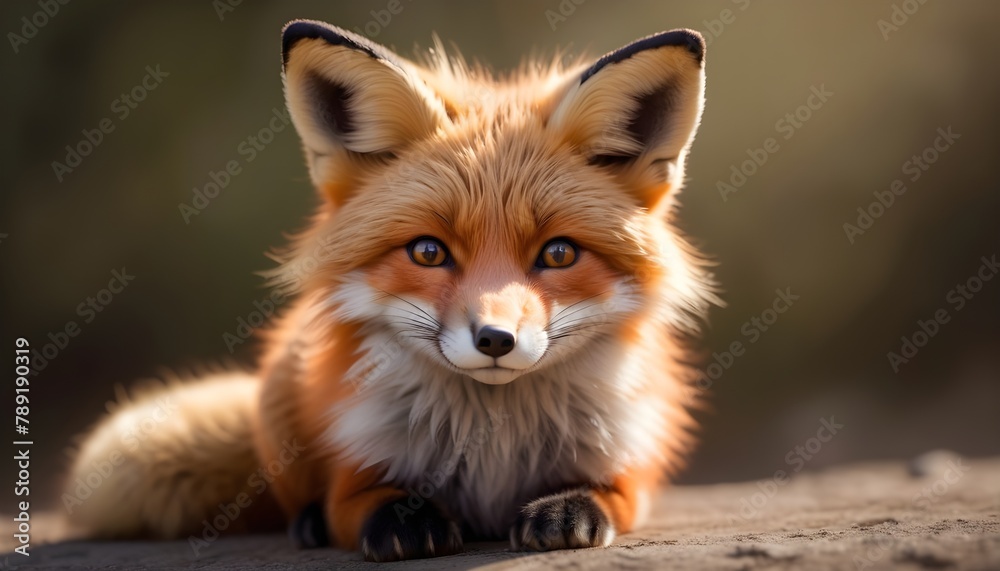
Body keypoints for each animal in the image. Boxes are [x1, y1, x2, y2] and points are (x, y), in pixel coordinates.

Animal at [64, 20, 719, 562]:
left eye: (558, 253)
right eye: (428, 251)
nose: (496, 339)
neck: (493, 447)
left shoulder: (632, 456)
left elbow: (612, 494)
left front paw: (569, 506)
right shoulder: (352, 463)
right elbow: (359, 501)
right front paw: (402, 520)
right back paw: (305, 523)